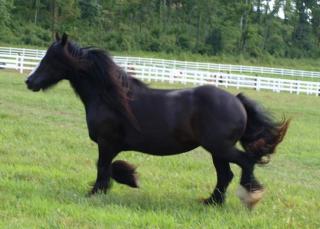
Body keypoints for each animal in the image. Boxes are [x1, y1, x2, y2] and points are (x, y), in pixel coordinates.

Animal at [26, 34, 288, 209]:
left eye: (51, 59)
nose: (30, 82)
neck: (109, 97)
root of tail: (237, 100)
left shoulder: (106, 142)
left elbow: (102, 167)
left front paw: (96, 192)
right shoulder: (111, 145)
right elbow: (109, 167)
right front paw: (129, 178)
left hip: (220, 148)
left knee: (245, 163)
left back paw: (250, 197)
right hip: (217, 151)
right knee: (226, 175)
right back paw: (211, 202)